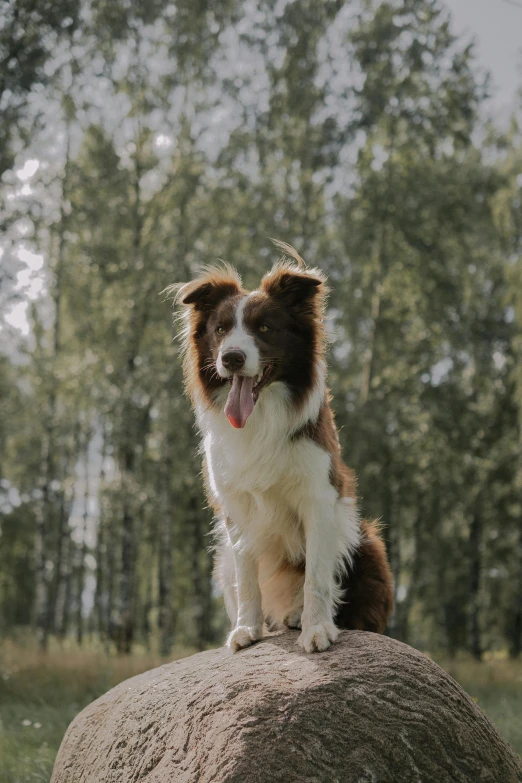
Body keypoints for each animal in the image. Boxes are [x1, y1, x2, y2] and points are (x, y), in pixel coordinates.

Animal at [173, 242, 392, 652]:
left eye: (263, 328)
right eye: (221, 329)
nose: (231, 358)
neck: (262, 417)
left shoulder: (320, 498)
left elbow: (317, 577)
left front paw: (317, 628)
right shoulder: (237, 509)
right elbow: (248, 577)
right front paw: (247, 629)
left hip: (366, 539)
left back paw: (298, 616)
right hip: (221, 559)